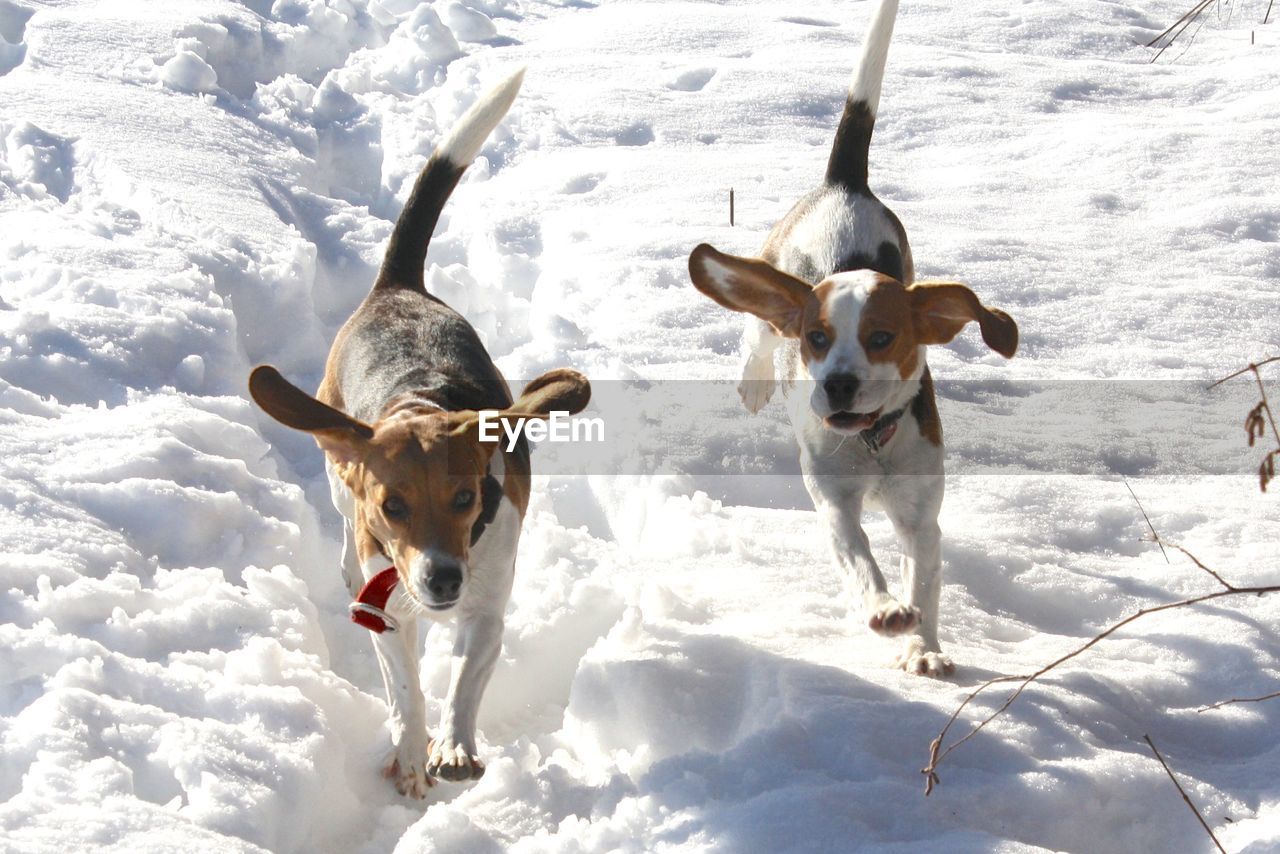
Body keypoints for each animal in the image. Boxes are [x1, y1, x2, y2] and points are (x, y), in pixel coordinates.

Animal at [248, 70, 588, 798]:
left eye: (466, 499)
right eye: (393, 506)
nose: (440, 580)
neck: (417, 404)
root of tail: (397, 286)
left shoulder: (486, 606)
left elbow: (463, 679)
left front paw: (453, 746)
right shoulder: (388, 604)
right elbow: (404, 687)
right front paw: (409, 750)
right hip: (339, 487)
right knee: (346, 538)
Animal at [686, 1, 1013, 681]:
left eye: (882, 337)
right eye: (816, 338)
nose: (836, 384)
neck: (871, 443)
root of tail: (845, 186)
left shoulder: (921, 514)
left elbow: (924, 580)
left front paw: (923, 646)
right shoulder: (833, 501)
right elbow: (860, 557)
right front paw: (886, 610)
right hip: (771, 286)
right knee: (757, 330)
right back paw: (755, 384)